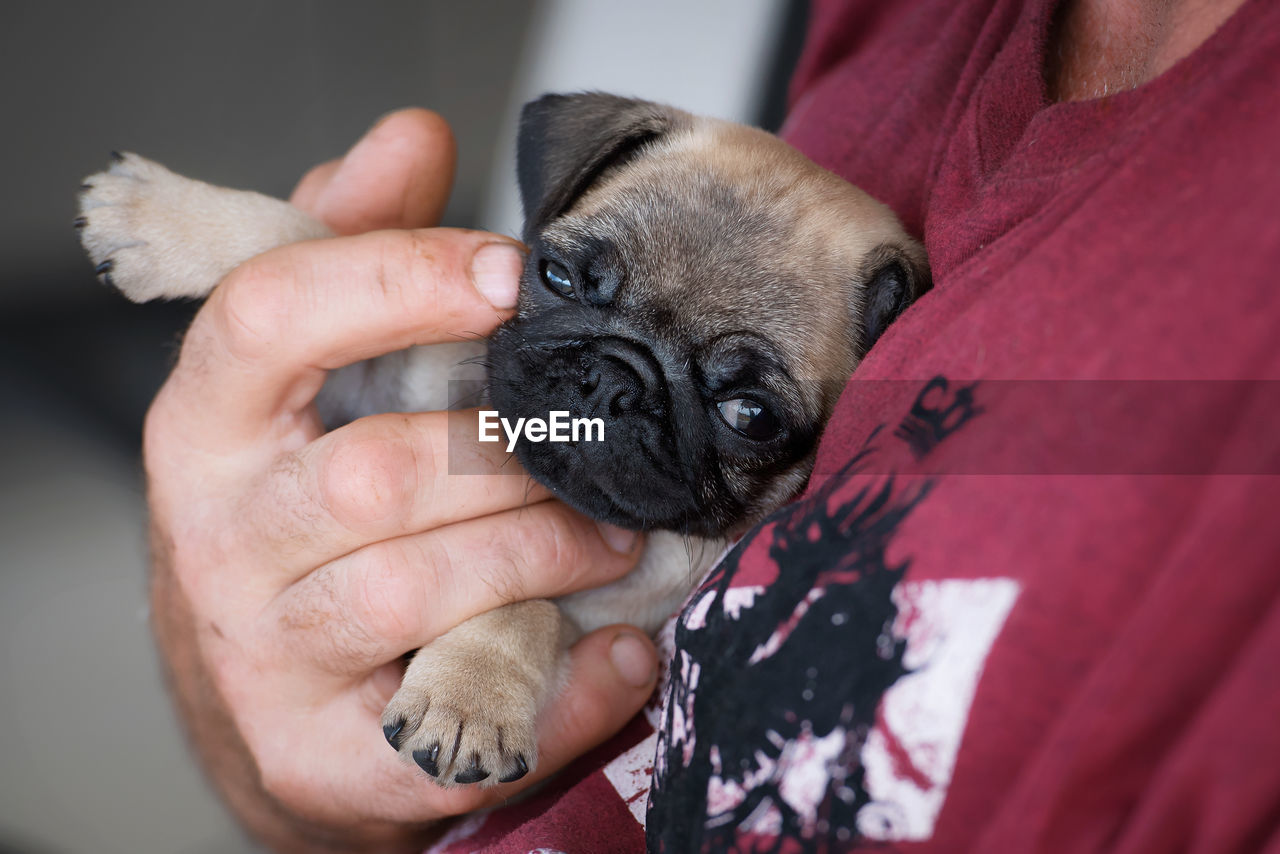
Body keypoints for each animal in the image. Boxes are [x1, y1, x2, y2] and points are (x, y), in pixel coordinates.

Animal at [77, 92, 931, 788]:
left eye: (750, 414)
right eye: (557, 276)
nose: (615, 379)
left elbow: (525, 604)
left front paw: (470, 695)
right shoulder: (372, 372)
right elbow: (309, 238)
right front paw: (165, 216)